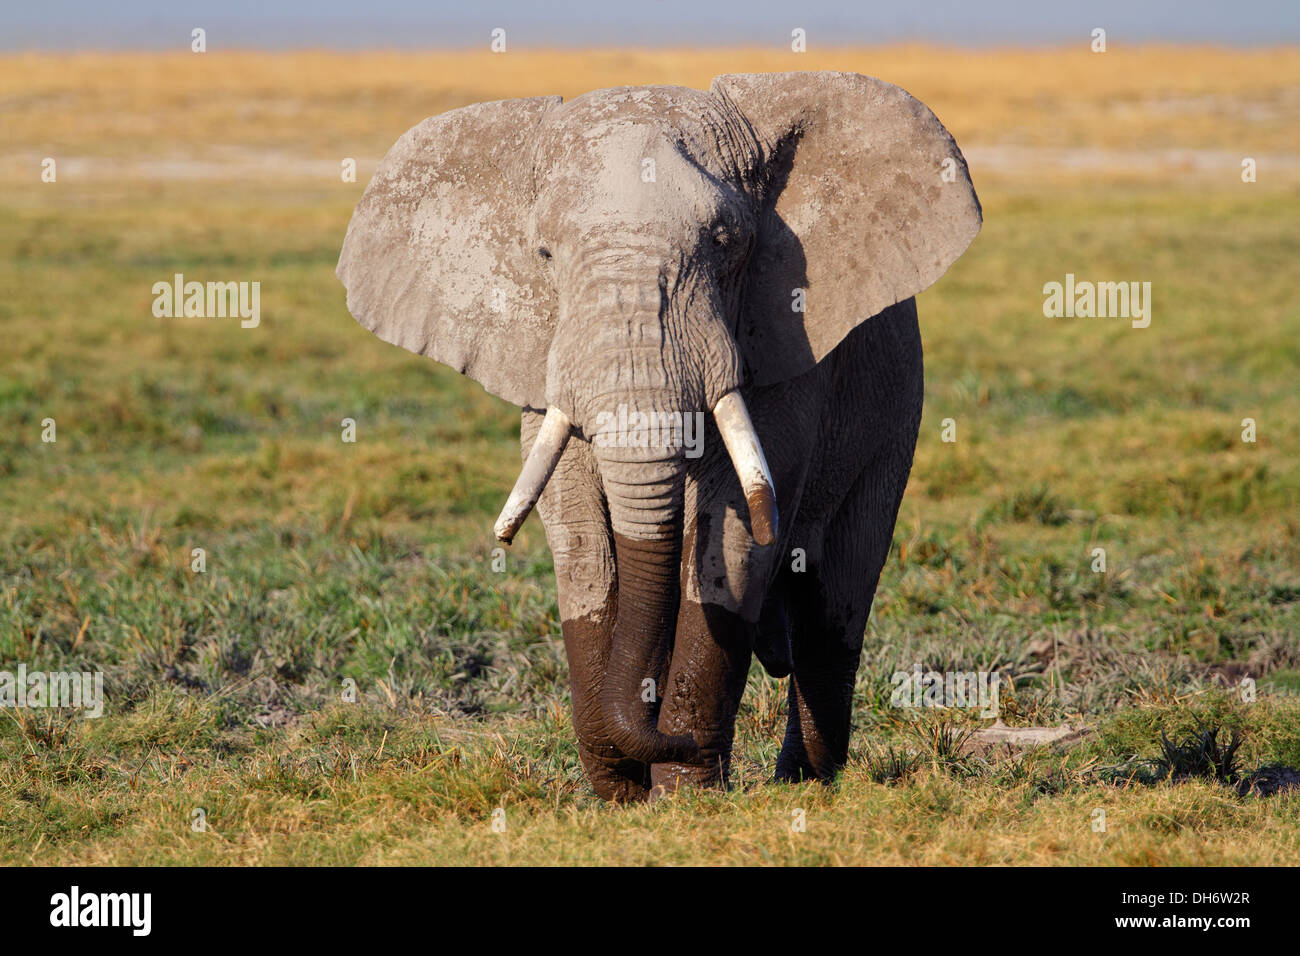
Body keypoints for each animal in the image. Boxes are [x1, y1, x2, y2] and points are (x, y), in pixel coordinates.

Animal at [340, 72, 977, 801]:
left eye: (727, 242)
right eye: (544, 254)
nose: (671, 737)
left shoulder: (786, 349)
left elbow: (734, 543)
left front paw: (686, 789)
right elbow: (580, 539)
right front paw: (618, 795)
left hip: (897, 410)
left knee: (833, 604)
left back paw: (806, 783)